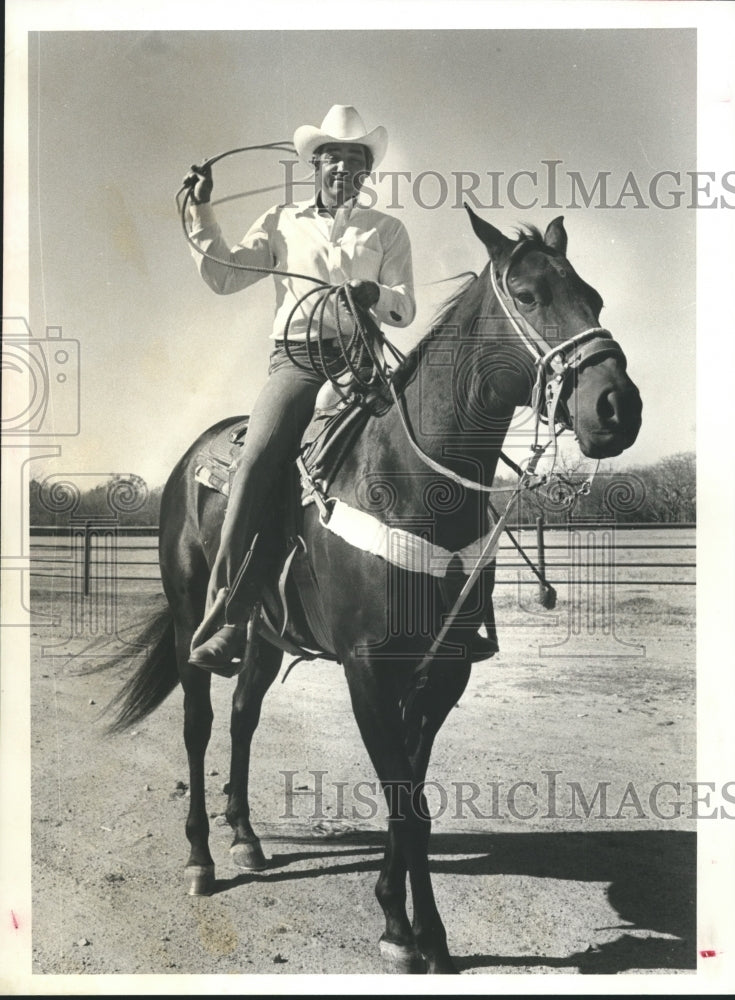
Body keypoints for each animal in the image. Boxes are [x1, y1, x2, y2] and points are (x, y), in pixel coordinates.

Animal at [106, 209, 640, 968]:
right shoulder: (367, 669)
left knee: (242, 717)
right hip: (189, 622)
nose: (617, 406)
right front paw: (412, 934)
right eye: (529, 295)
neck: (416, 486)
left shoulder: (441, 673)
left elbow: (410, 799)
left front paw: (412, 928)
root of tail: (190, 461)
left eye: (592, 297)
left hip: (265, 634)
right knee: (199, 724)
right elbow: (402, 802)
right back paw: (201, 858)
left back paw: (245, 838)